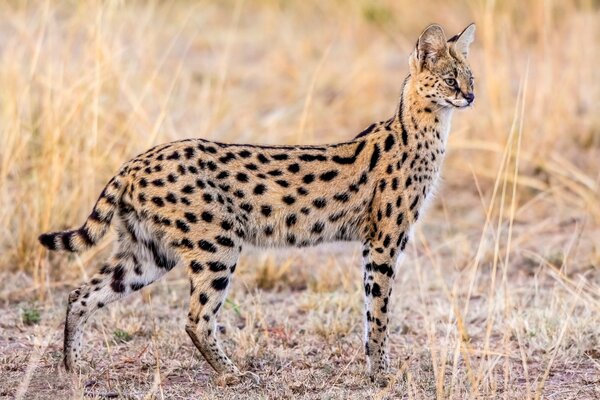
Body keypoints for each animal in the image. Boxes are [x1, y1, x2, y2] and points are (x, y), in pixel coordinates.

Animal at [39, 22, 476, 384]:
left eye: (471, 78)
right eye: (450, 80)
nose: (471, 97)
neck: (423, 130)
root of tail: (136, 161)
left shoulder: (376, 244)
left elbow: (371, 313)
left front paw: (375, 369)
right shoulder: (385, 240)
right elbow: (380, 313)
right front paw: (382, 375)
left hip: (149, 252)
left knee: (81, 294)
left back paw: (72, 369)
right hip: (216, 245)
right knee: (196, 318)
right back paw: (233, 375)